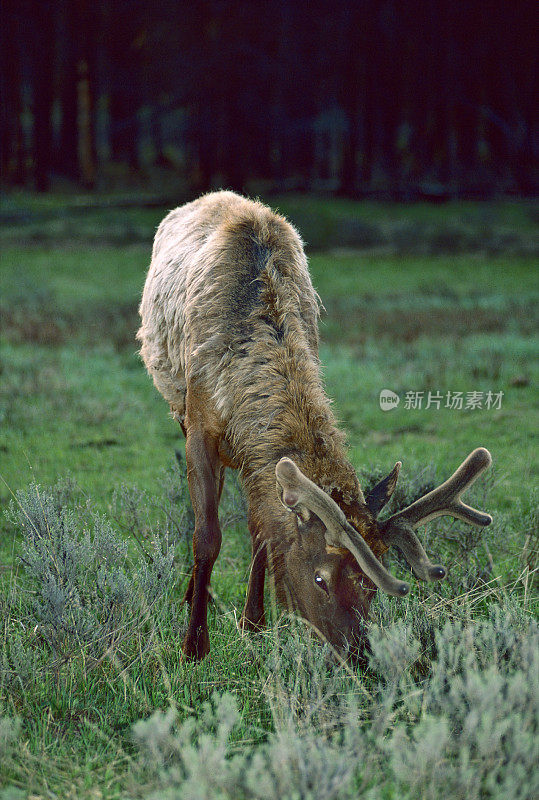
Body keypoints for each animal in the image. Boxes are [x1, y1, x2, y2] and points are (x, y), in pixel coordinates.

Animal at [138, 189, 494, 664]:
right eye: (320, 577)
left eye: (372, 586)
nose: (358, 655)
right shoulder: (198, 424)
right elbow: (206, 536)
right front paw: (194, 645)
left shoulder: (257, 459)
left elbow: (263, 531)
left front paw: (254, 625)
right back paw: (194, 594)